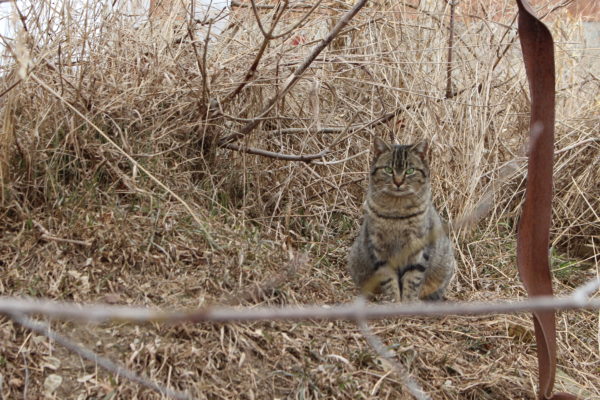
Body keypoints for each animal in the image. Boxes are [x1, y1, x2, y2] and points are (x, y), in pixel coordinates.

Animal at [346, 138, 454, 300]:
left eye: (410, 171)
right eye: (388, 169)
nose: (398, 182)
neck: (397, 213)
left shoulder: (418, 247)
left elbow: (413, 278)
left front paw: (408, 301)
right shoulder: (379, 248)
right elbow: (388, 279)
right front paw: (394, 300)